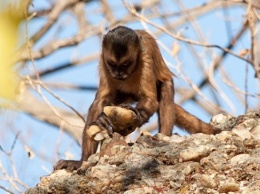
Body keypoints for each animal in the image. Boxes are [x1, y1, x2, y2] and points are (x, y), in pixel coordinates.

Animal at [53, 25, 220, 171]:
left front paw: (138, 114)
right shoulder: (103, 61)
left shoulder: (145, 58)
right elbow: (100, 101)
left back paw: (163, 136)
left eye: (125, 64)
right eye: (112, 64)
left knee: (165, 88)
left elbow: (151, 99)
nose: (119, 73)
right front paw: (101, 120)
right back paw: (83, 161)